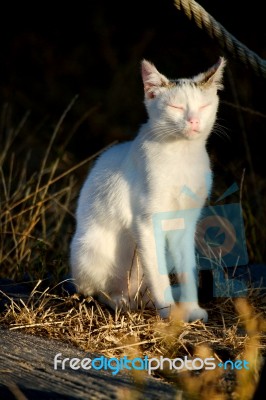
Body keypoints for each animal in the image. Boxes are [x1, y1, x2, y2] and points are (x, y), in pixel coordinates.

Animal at [69, 57, 225, 322]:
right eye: (176, 107)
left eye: (203, 107)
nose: (193, 121)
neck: (181, 155)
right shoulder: (147, 222)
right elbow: (158, 273)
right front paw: (169, 312)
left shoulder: (186, 224)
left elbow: (187, 270)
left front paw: (191, 309)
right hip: (91, 249)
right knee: (96, 291)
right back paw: (121, 301)